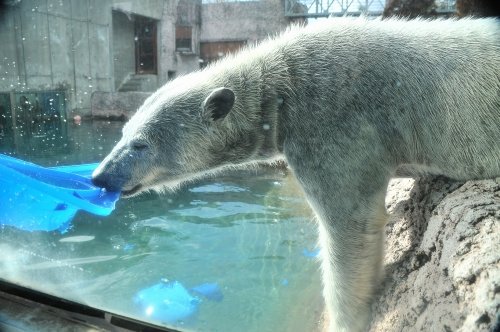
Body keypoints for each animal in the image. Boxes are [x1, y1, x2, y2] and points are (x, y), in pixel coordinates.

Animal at [92, 18, 498, 332]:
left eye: (141, 144)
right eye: (123, 133)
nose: (99, 176)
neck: (282, 82)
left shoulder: (331, 123)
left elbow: (351, 224)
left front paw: (345, 319)